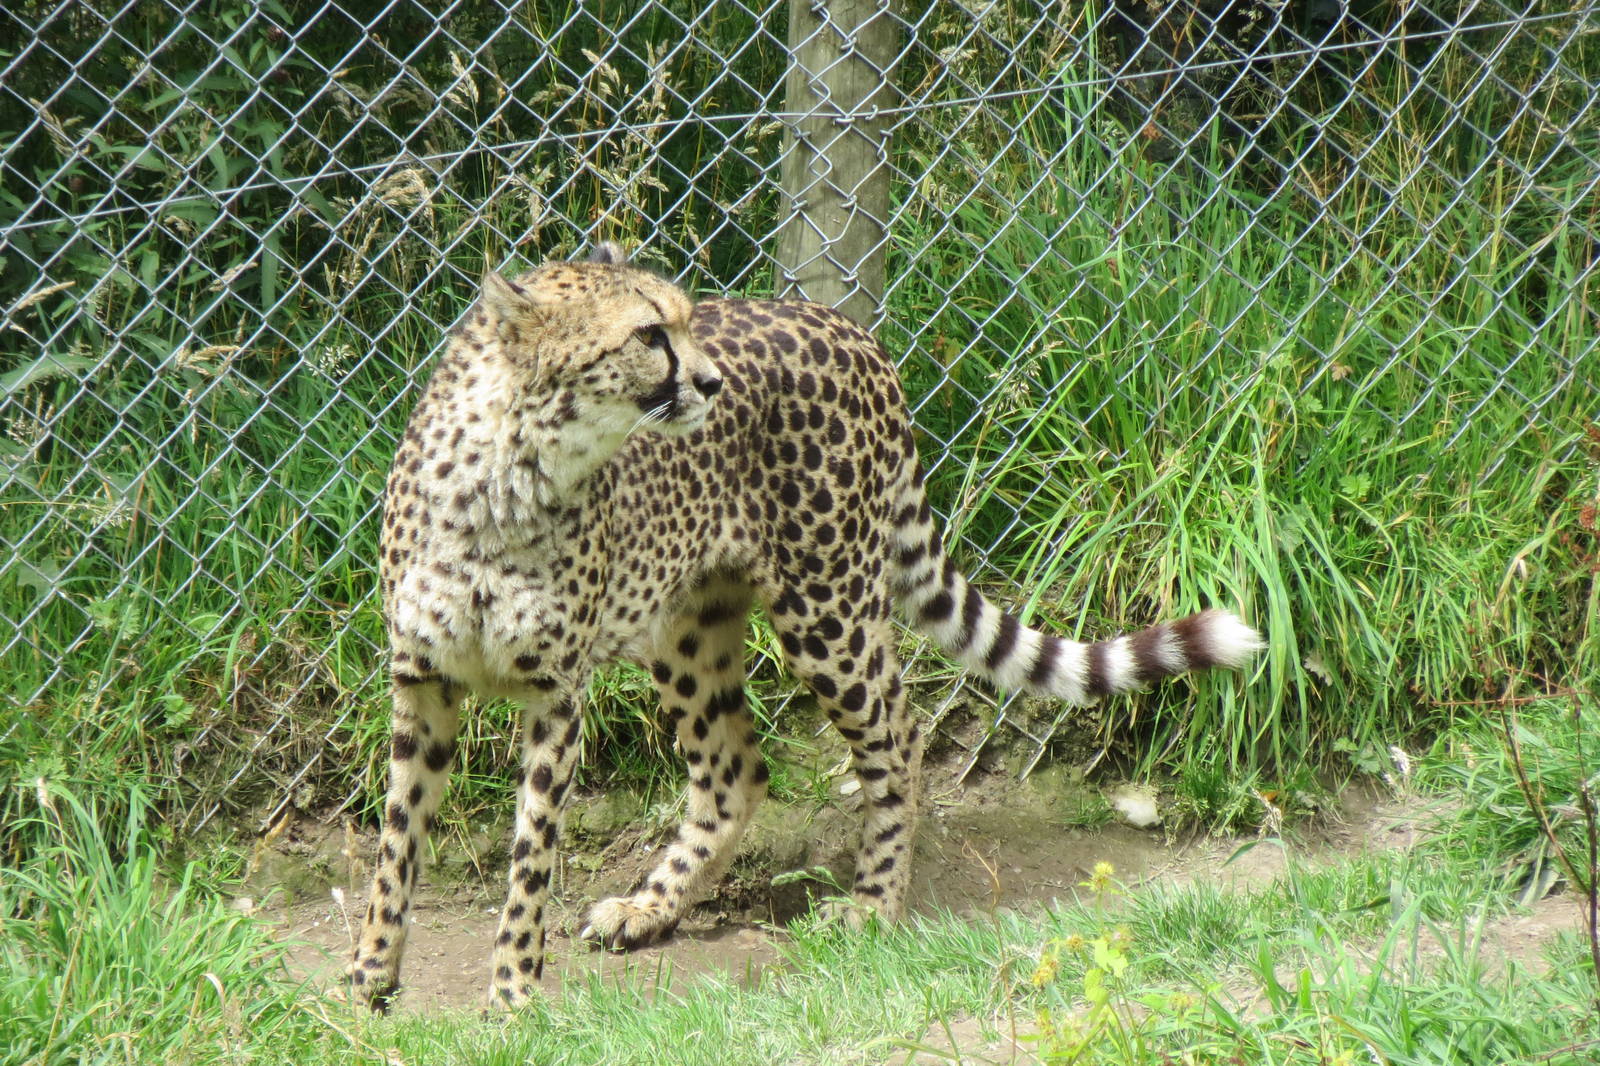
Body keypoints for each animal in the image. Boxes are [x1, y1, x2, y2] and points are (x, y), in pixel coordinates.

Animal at [346, 242, 1263, 1011]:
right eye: (649, 333)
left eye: (684, 320)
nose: (711, 384)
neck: (510, 475)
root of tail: (845, 325)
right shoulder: (420, 680)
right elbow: (397, 838)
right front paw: (370, 975)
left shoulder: (555, 695)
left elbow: (530, 857)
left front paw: (511, 992)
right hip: (688, 626)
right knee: (735, 769)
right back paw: (652, 905)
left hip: (826, 608)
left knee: (897, 733)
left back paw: (871, 907)